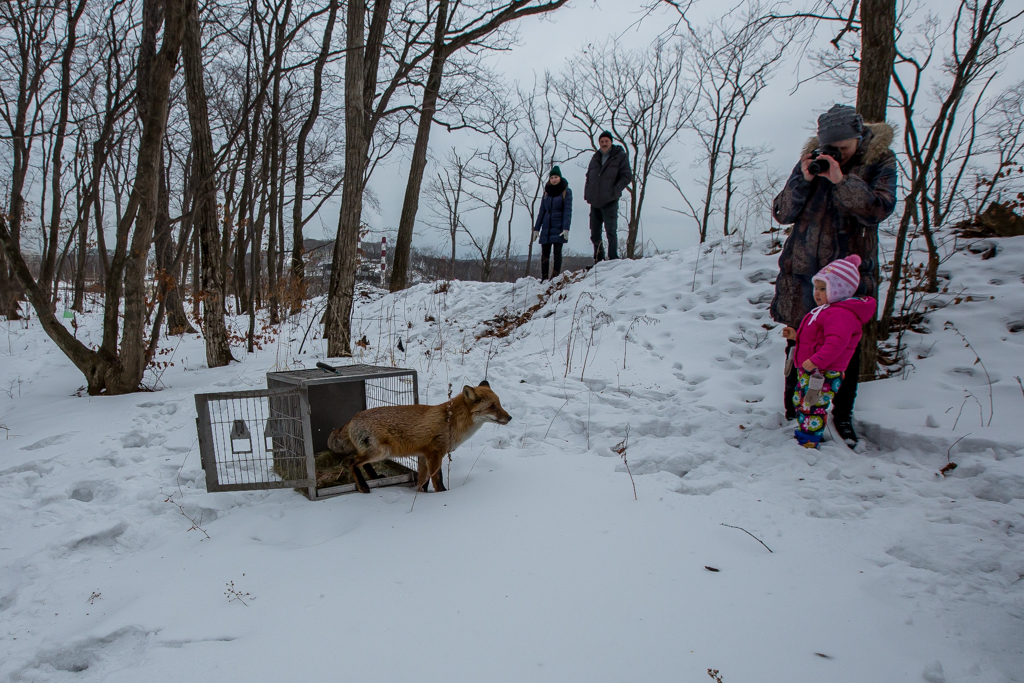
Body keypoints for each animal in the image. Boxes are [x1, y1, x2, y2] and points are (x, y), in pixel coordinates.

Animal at [321, 382, 509, 493]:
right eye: (492, 406)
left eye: (500, 404)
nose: (510, 417)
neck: (451, 422)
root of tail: (352, 418)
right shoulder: (434, 454)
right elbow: (437, 480)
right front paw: (443, 495)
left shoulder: (423, 456)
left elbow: (423, 481)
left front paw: (421, 495)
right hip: (381, 451)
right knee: (352, 462)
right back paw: (363, 487)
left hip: (376, 453)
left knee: (362, 463)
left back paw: (375, 478)